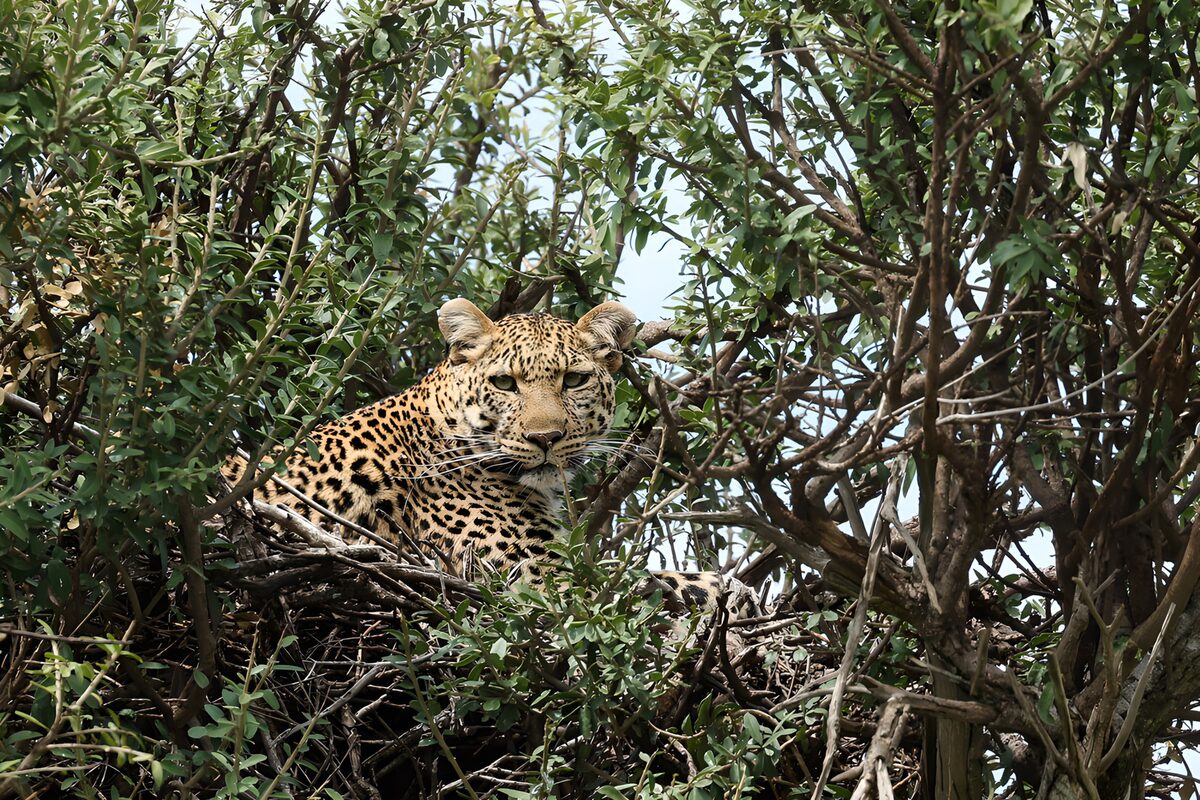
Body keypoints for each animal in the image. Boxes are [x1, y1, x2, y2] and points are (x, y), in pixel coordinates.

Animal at [223, 298, 761, 624]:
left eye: (574, 380)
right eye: (505, 383)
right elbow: (660, 582)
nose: (545, 438)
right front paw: (730, 591)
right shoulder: (541, 579)